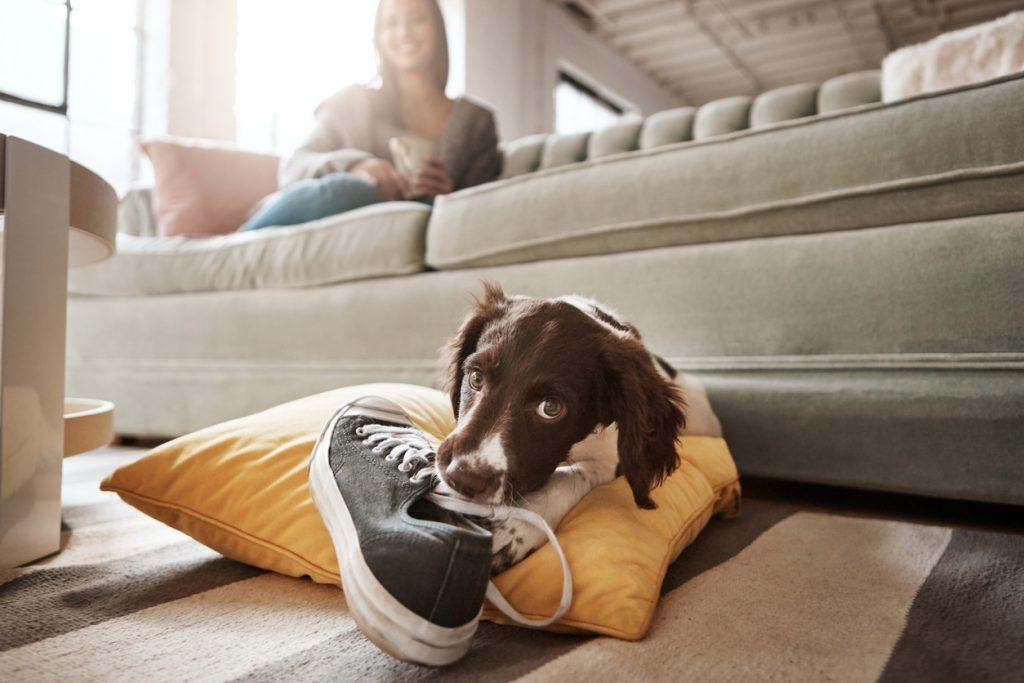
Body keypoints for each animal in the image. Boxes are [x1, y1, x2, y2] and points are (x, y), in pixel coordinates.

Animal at [436, 280, 724, 573]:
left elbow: (574, 474)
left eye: (551, 408)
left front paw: (518, 527)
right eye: (475, 378)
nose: (463, 477)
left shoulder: (615, 460)